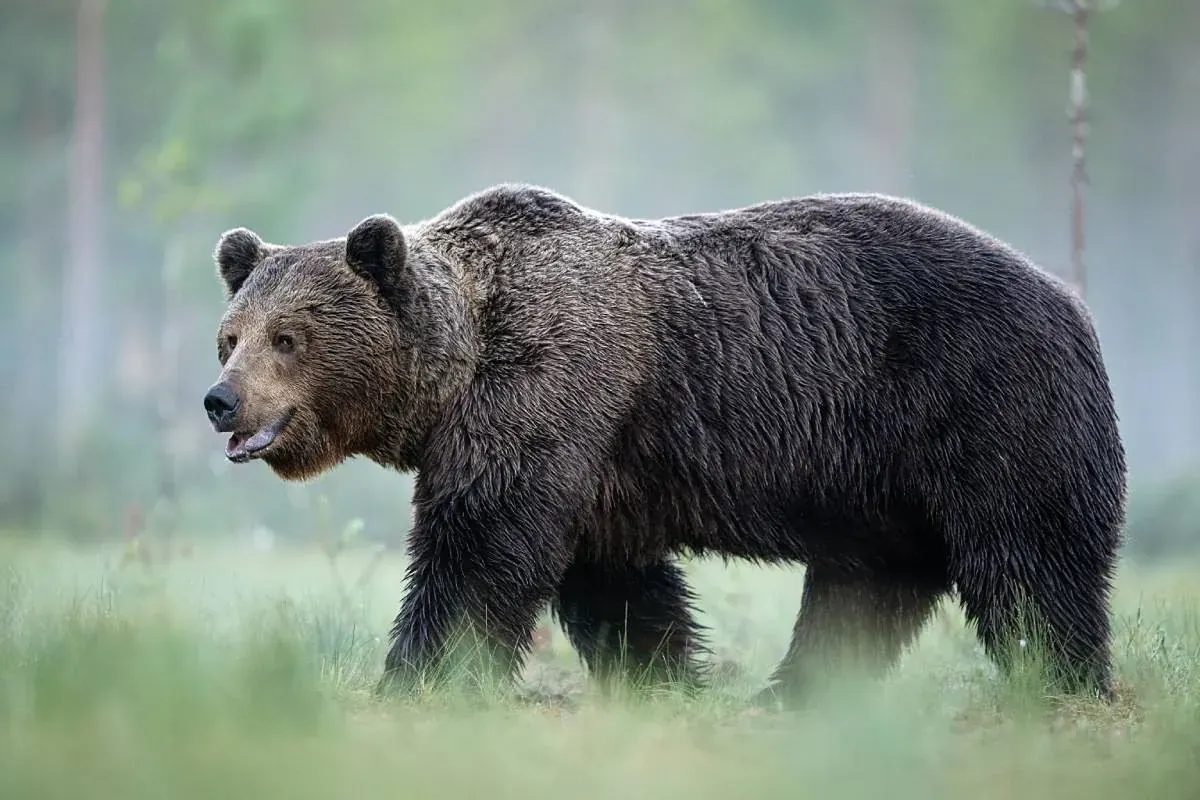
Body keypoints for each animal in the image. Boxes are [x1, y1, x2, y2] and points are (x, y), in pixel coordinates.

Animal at [203, 184, 1126, 706]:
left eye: (289, 337)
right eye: (230, 336)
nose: (220, 401)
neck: (455, 367)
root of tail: (1072, 300)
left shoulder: (549, 388)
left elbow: (477, 548)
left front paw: (417, 675)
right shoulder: (593, 459)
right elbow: (613, 580)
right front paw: (664, 674)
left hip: (983, 403)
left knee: (1028, 558)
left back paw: (1062, 679)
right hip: (883, 483)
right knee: (867, 586)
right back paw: (793, 693)